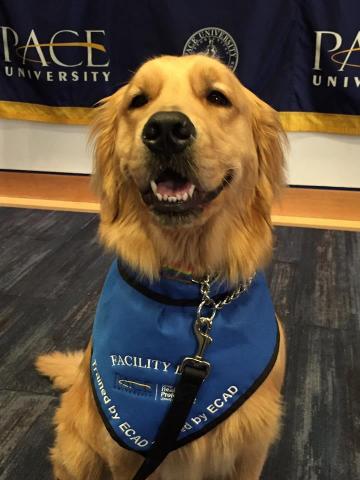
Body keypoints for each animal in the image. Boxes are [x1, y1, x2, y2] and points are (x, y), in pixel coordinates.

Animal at [37, 55, 286, 480]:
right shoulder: (126, 456)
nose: (167, 128)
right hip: (80, 454)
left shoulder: (252, 448)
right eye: (138, 100)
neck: (195, 293)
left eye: (217, 97)